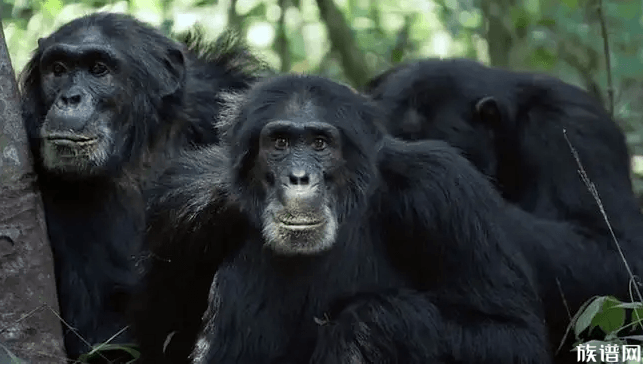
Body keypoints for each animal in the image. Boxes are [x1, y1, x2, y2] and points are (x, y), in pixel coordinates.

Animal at [132, 73, 552, 362]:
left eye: (320, 143)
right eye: (280, 142)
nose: (299, 177)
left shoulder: (445, 193)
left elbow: (512, 333)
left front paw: (364, 325)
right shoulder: (181, 201)